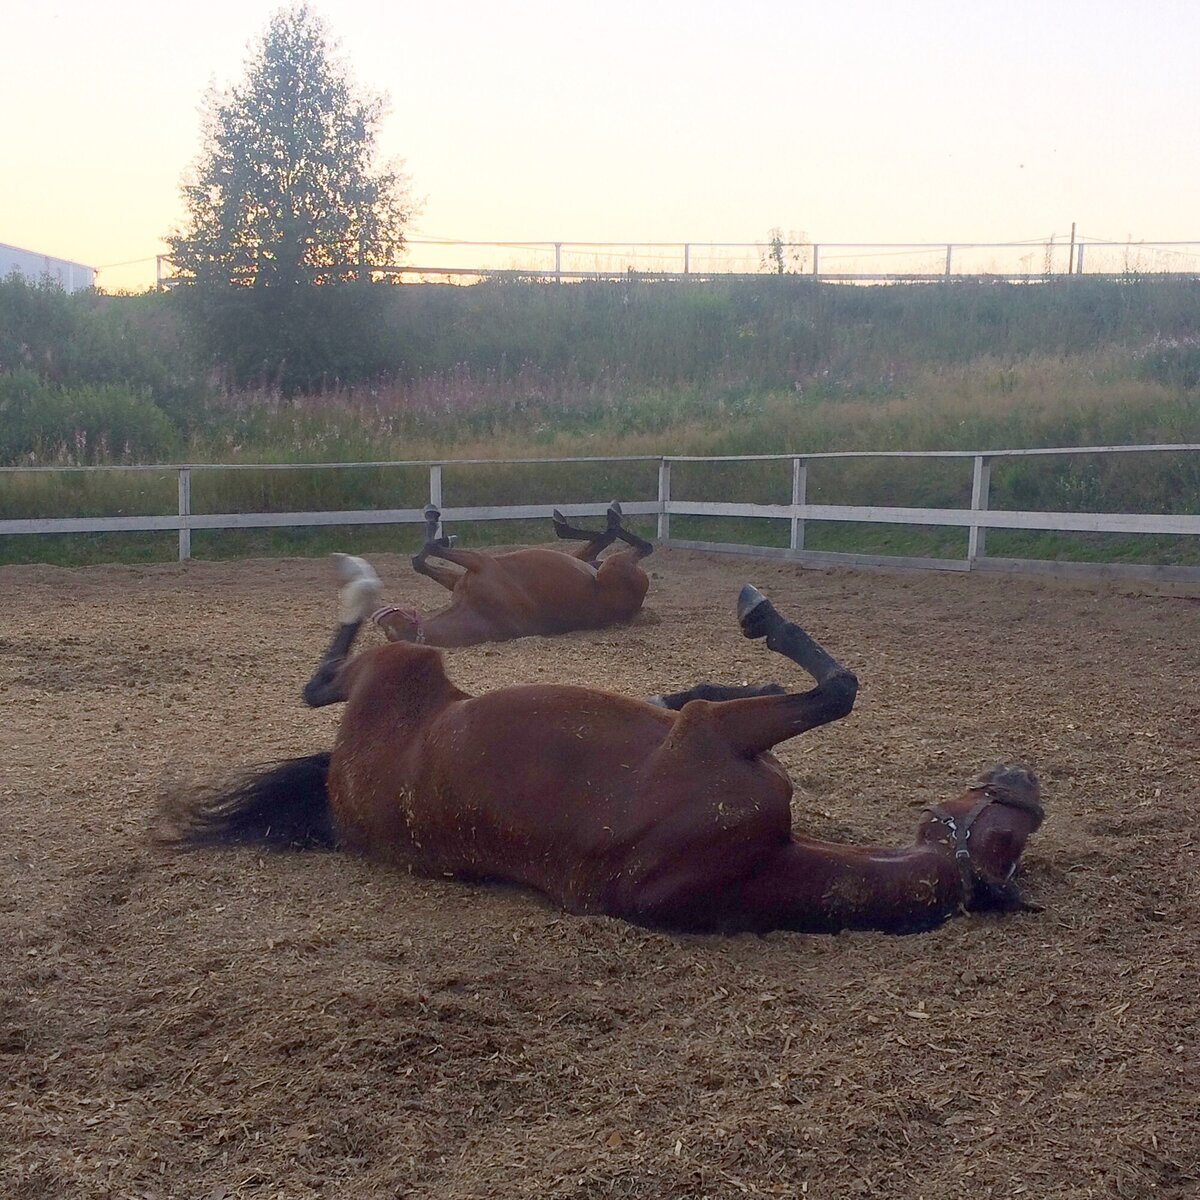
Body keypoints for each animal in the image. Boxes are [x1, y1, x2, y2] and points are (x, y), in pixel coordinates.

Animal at [164, 576, 1046, 931]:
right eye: (1008, 834)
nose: (1027, 784)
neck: (753, 866)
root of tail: (337, 800)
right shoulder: (720, 733)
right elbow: (834, 689)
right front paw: (756, 630)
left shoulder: (717, 736)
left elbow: (829, 689)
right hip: (407, 670)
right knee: (323, 681)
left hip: (403, 676)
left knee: (327, 684)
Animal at [369, 499, 652, 648]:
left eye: (392, 620)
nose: (378, 611)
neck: (479, 613)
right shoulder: (482, 563)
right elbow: (427, 551)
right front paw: (438, 529)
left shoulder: (471, 570)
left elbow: (422, 557)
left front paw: (440, 531)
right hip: (614, 565)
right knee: (633, 543)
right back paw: (604, 517)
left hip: (594, 561)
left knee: (608, 541)